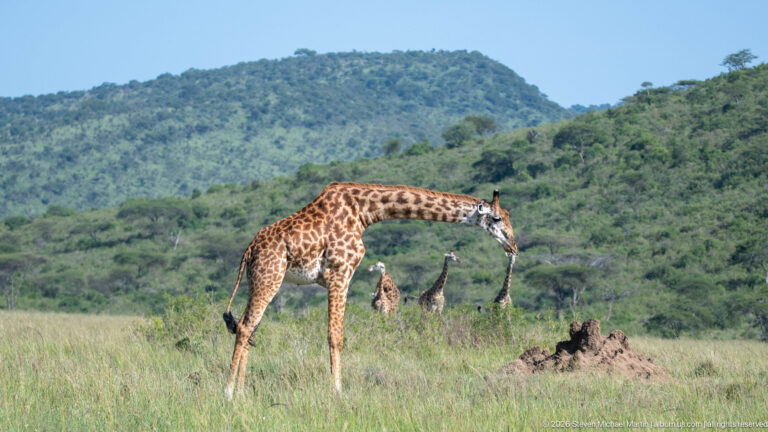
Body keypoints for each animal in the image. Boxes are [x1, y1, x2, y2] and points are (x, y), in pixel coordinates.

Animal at [222, 182, 517, 398]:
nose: (513, 246)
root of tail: (249, 249)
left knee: (247, 327)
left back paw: (242, 390)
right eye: (496, 218)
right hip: (269, 277)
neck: (364, 212)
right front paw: (338, 391)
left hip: (261, 280)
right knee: (246, 327)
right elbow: (336, 336)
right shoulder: (340, 273)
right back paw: (229, 392)